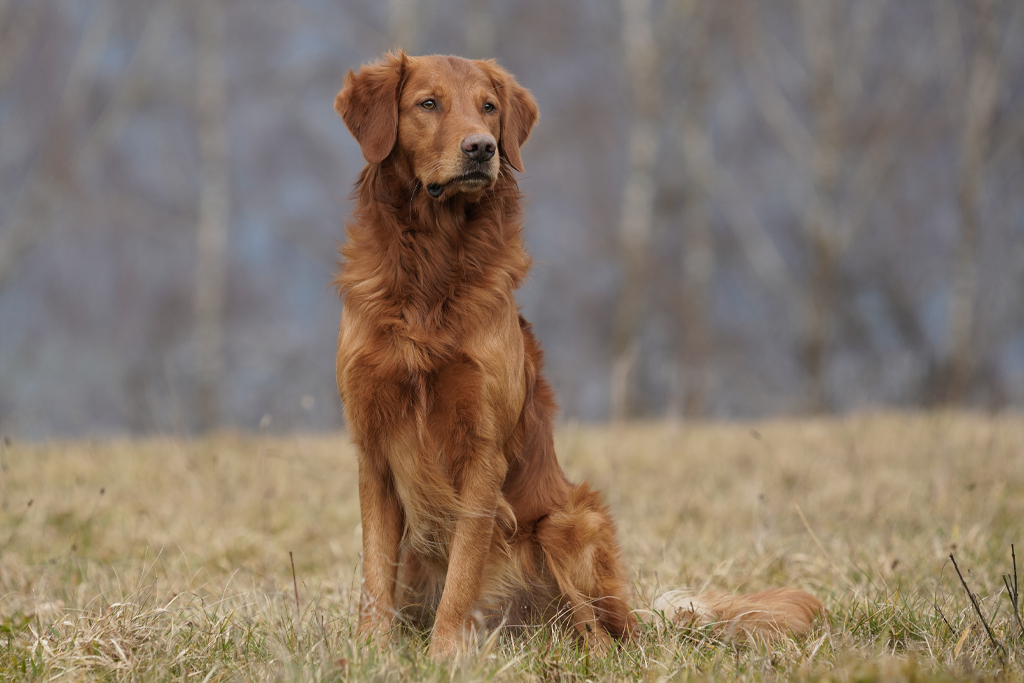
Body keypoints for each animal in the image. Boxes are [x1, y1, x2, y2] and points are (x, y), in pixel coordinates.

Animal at [335, 50, 823, 659]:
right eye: (428, 103)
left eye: (488, 108)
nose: (482, 148)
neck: (431, 266)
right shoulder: (374, 449)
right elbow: (375, 571)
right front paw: (371, 651)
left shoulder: (483, 451)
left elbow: (464, 569)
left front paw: (447, 654)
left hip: (570, 522)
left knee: (602, 635)